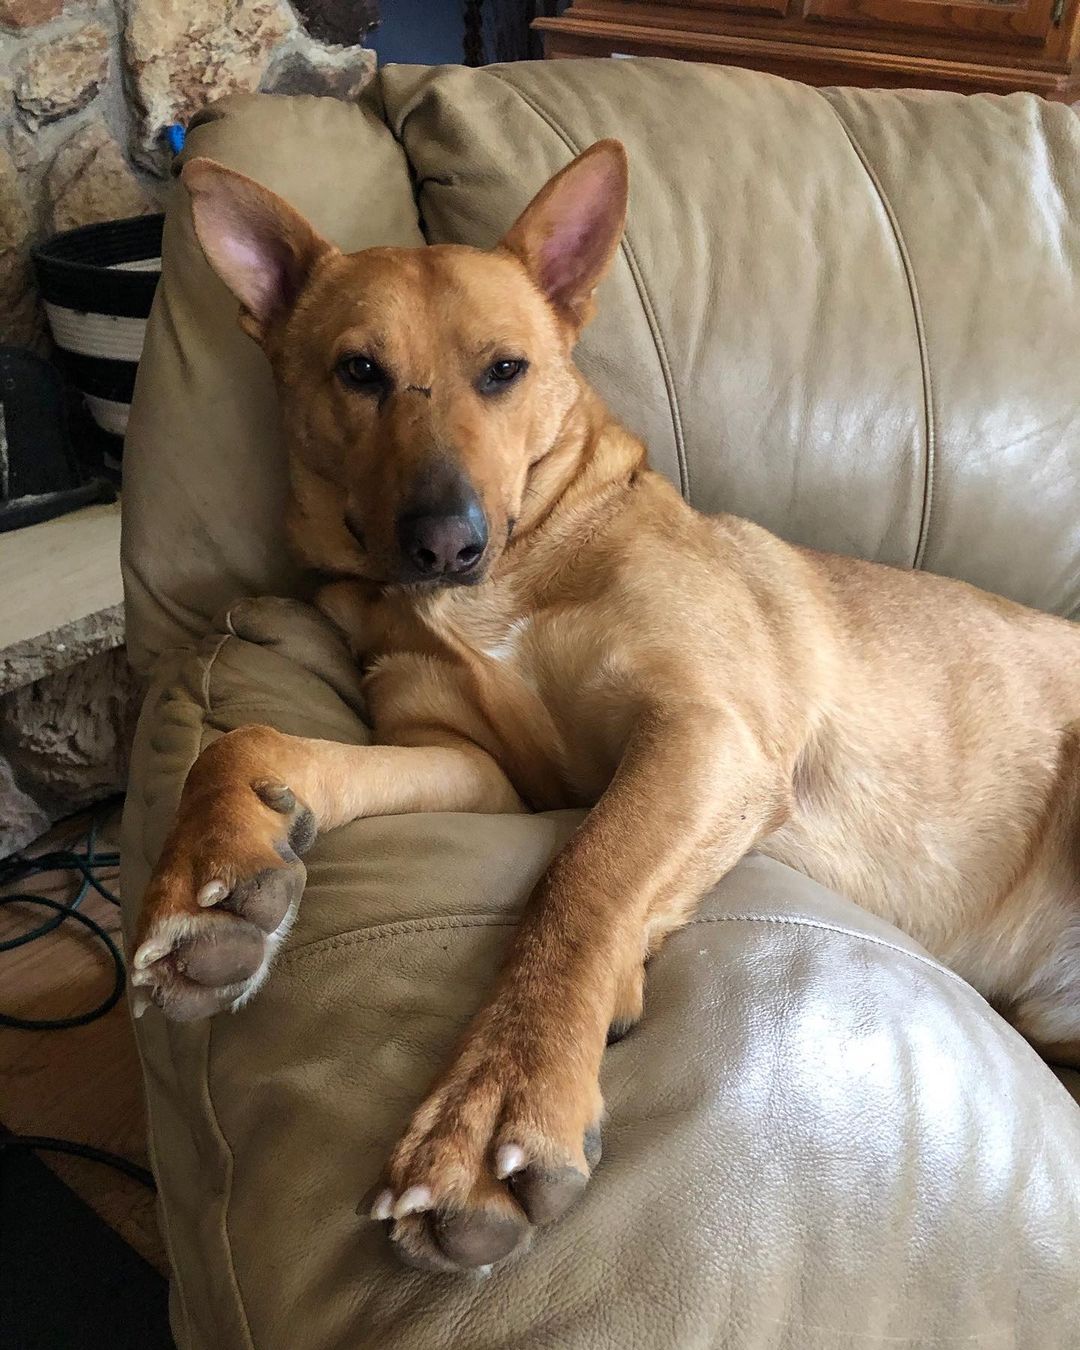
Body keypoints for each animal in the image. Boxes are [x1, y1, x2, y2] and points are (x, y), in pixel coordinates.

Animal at [130, 145, 1080, 1274]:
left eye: (505, 370)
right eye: (357, 372)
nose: (443, 540)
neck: (506, 577)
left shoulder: (706, 734)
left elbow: (584, 877)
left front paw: (501, 1098)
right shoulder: (471, 767)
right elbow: (248, 739)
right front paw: (218, 863)